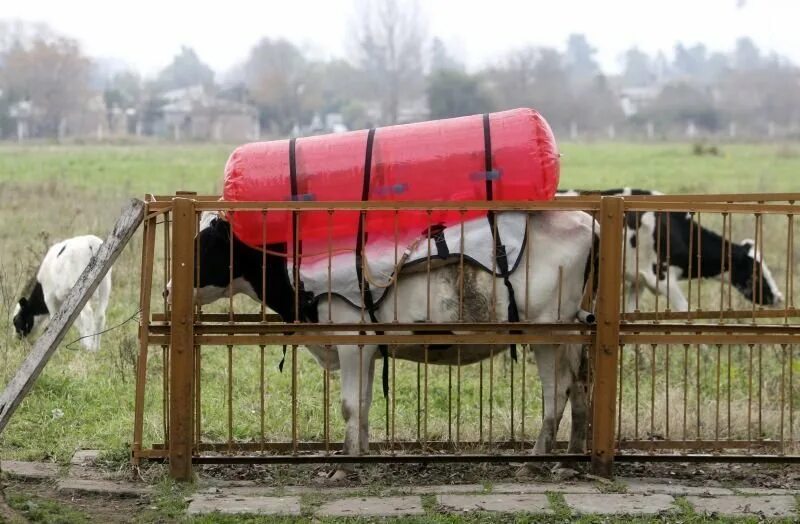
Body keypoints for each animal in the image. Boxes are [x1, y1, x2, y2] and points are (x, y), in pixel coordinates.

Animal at [170, 210, 600, 478]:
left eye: (205, 243)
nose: (168, 288)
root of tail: (587, 221)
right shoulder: (367, 349)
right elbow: (361, 405)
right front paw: (360, 456)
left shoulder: (350, 340)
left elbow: (349, 405)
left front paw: (343, 466)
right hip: (573, 335)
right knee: (579, 388)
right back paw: (569, 461)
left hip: (548, 333)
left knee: (556, 394)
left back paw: (535, 461)